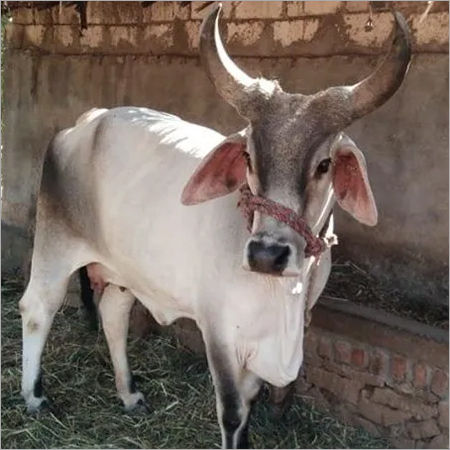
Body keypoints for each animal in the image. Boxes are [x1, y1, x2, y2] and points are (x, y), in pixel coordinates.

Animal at [18, 4, 412, 450]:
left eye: (324, 164)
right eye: (249, 156)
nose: (266, 254)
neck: (282, 292)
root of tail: (87, 121)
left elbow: (252, 401)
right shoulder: (220, 333)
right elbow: (234, 410)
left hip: (126, 272)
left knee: (113, 316)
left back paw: (129, 393)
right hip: (55, 246)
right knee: (38, 308)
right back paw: (35, 397)